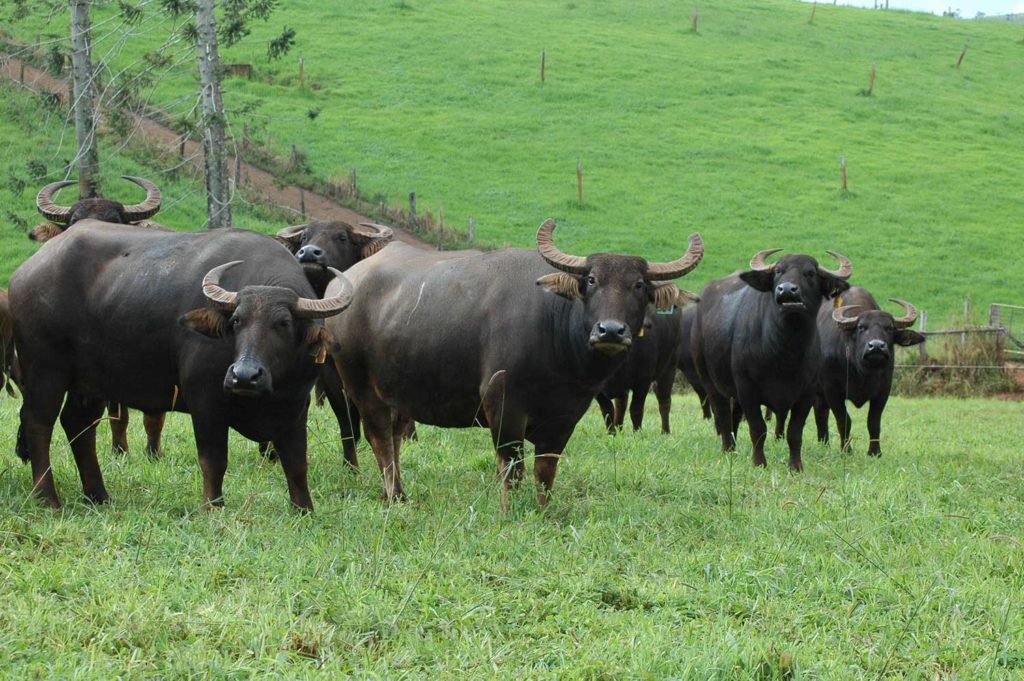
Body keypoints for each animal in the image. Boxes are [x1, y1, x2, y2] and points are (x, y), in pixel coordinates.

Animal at [9, 221, 351, 510]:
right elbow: (214, 459)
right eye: (237, 321)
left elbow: (296, 462)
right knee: (38, 423)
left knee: (79, 425)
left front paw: (303, 508)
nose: (244, 376)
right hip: (45, 369)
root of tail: (27, 270)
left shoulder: (295, 406)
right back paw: (48, 498)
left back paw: (98, 495)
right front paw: (213, 506)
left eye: (283, 323)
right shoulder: (205, 400)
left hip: (90, 383)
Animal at [325, 219, 703, 509]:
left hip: (399, 392)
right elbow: (512, 467)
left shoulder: (566, 415)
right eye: (592, 281)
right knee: (380, 438)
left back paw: (398, 493)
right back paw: (394, 495)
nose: (610, 330)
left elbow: (545, 471)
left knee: (395, 436)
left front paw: (544, 510)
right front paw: (509, 510)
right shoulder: (502, 403)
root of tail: (345, 284)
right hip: (360, 387)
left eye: (638, 285)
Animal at [692, 249, 851, 470]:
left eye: (810, 273)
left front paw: (795, 466)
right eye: (778, 272)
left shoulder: (807, 393)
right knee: (722, 414)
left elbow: (795, 432)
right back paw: (728, 449)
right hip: (709, 379)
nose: (787, 290)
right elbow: (758, 429)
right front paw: (759, 463)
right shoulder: (747, 389)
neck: (784, 353)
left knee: (734, 416)